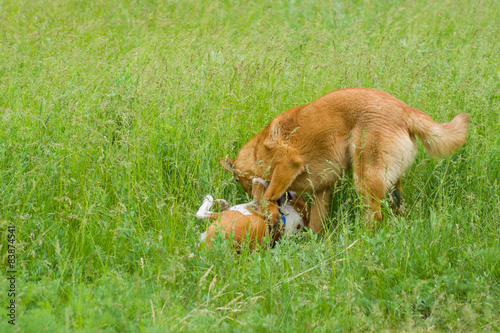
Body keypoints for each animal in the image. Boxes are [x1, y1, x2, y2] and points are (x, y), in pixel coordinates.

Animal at [219, 87, 468, 231]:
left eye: (241, 184)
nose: (248, 199)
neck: (257, 152)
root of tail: (404, 109)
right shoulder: (322, 191)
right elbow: (316, 225)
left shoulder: (287, 163)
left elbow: (269, 194)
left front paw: (268, 211)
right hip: (391, 184)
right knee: (395, 210)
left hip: (365, 178)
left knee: (375, 216)